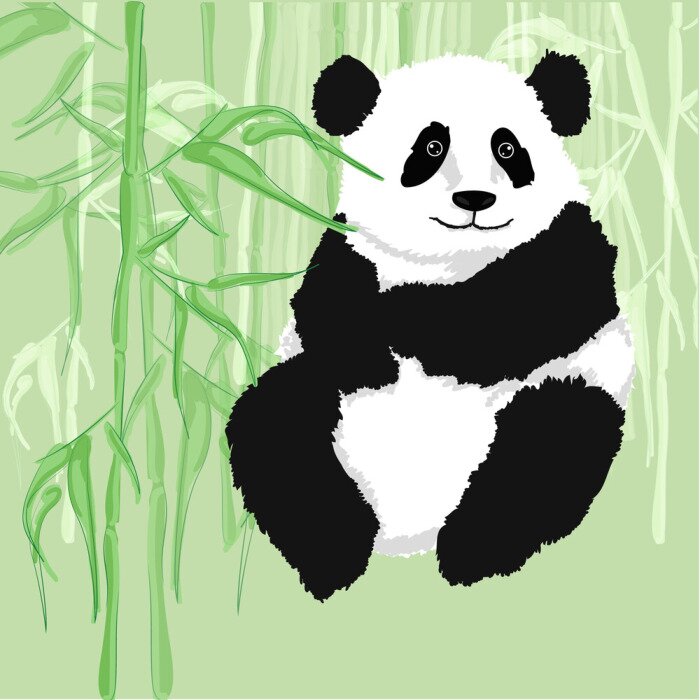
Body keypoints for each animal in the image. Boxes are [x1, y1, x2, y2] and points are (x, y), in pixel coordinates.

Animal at [226, 51, 635, 601]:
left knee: (553, 436)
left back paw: (471, 552)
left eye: (507, 148)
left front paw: (404, 315)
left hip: (564, 394)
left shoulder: (565, 248)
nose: (475, 199)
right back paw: (336, 555)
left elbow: (519, 319)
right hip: (315, 407)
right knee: (275, 423)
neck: (449, 261)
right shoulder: (349, 247)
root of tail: (408, 529)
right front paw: (370, 352)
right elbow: (327, 307)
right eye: (432, 147)